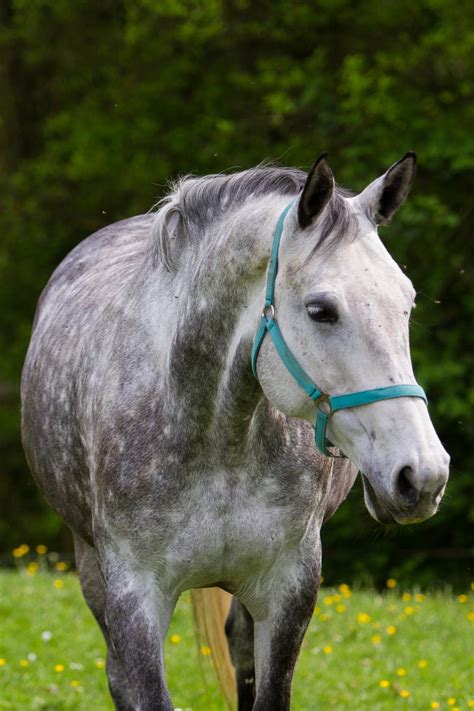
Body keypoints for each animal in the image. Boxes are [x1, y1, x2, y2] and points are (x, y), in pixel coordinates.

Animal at [21, 153, 448, 708]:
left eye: (407, 304)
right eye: (321, 310)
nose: (423, 476)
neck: (217, 440)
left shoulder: (289, 589)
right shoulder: (136, 598)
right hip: (90, 564)